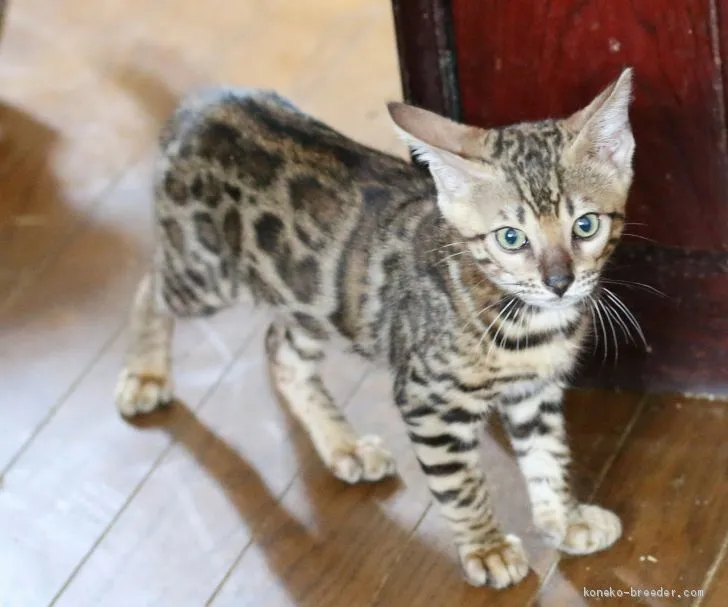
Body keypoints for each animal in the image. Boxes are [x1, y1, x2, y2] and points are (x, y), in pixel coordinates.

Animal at [116, 69, 636, 592]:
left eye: (585, 226)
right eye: (511, 238)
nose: (559, 282)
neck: (529, 321)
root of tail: (200, 104)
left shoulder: (534, 391)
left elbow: (548, 456)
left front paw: (565, 520)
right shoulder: (430, 401)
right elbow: (460, 484)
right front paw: (486, 548)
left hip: (309, 296)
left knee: (279, 347)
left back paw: (342, 445)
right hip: (206, 273)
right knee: (150, 285)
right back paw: (145, 375)